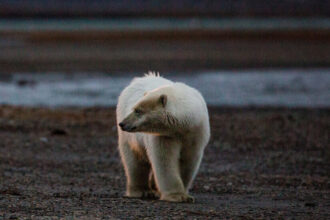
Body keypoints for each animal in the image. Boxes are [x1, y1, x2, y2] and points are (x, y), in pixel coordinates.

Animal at [116, 72, 209, 203]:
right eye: (134, 109)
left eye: (138, 111)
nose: (122, 123)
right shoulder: (164, 136)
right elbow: (165, 159)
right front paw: (177, 196)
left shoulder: (195, 133)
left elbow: (188, 160)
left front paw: (186, 195)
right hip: (129, 138)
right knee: (134, 162)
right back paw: (142, 191)